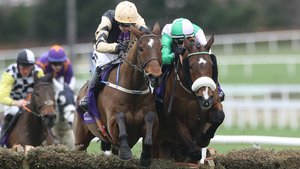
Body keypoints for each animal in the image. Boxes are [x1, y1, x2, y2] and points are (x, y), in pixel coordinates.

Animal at [74, 23, 163, 166]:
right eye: (141, 48)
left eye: (161, 47)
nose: (155, 76)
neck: (133, 89)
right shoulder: (112, 124)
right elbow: (120, 121)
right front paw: (126, 152)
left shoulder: (151, 119)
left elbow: (149, 126)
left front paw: (145, 157)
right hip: (80, 140)